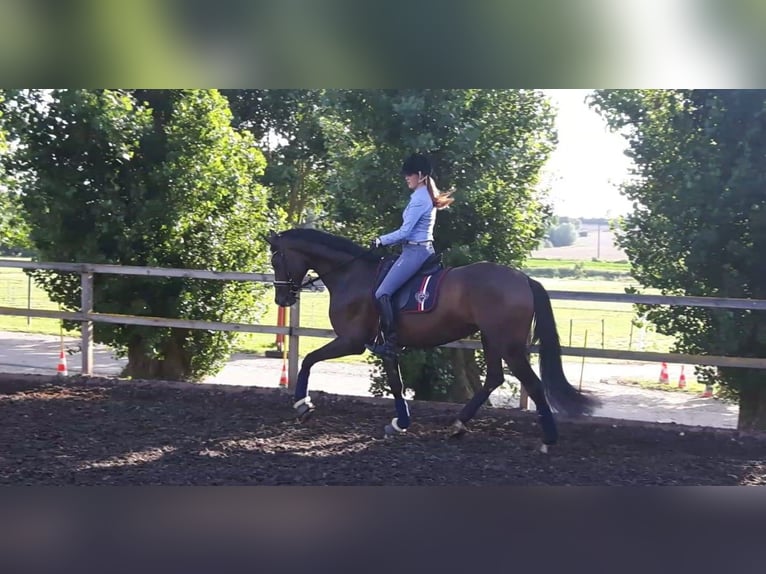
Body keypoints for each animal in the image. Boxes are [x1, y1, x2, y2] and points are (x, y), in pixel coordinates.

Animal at [265, 228, 598, 453]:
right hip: (491, 339)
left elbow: (309, 360)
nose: (282, 299)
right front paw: (399, 423)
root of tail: (523, 279)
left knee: (533, 384)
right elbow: (396, 384)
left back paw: (548, 440)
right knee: (494, 378)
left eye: (276, 259)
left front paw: (303, 405)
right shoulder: (386, 347)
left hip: (509, 344)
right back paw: (459, 424)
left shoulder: (351, 341)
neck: (351, 275)